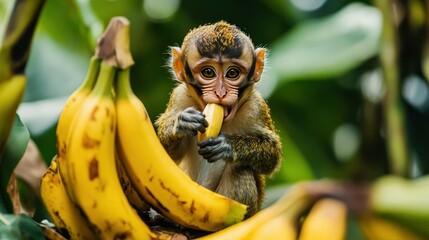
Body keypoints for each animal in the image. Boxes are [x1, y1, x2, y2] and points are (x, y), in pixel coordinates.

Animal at [155, 21, 282, 218]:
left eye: (232, 73)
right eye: (208, 72)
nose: (220, 93)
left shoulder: (256, 107)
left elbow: (273, 154)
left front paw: (227, 145)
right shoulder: (180, 97)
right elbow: (167, 155)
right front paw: (180, 124)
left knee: (240, 170)